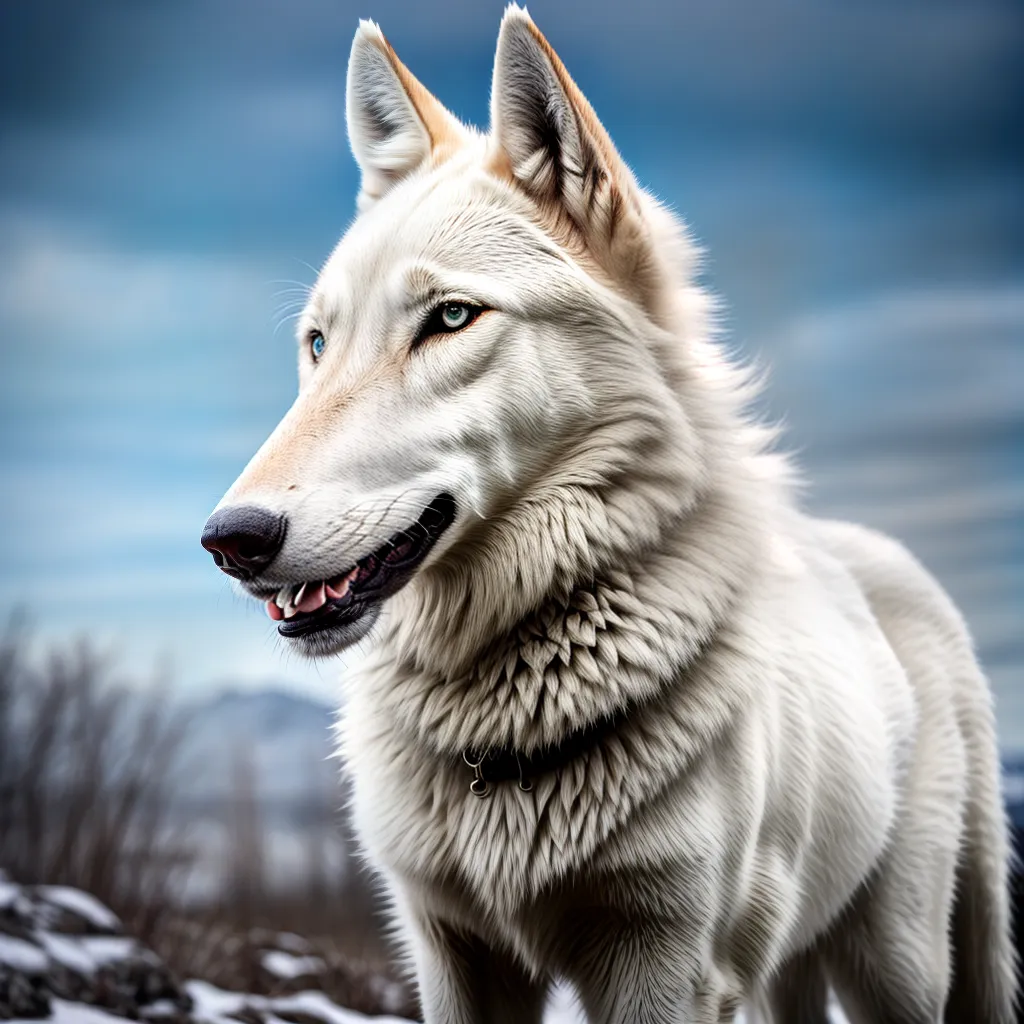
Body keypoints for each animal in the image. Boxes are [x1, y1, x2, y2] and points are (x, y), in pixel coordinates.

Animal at [201, 8, 1017, 1022]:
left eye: (451, 318)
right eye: (319, 343)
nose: (229, 541)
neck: (500, 733)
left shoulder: (662, 960)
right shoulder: (451, 953)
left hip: (895, 961)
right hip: (790, 965)